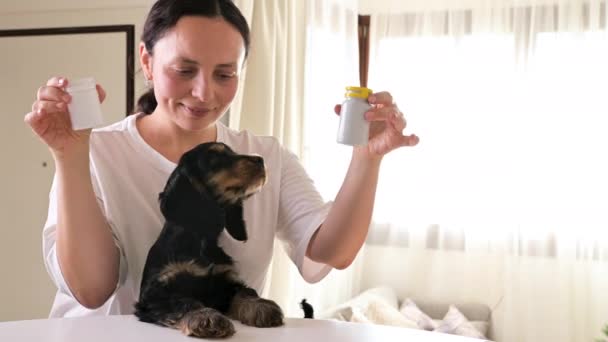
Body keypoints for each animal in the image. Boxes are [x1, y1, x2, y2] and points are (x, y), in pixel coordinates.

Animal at [134, 142, 284, 340]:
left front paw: (262, 306)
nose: (260, 159)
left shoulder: (225, 280)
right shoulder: (155, 292)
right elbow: (184, 300)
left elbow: (244, 291)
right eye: (214, 156)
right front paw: (206, 317)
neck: (202, 239)